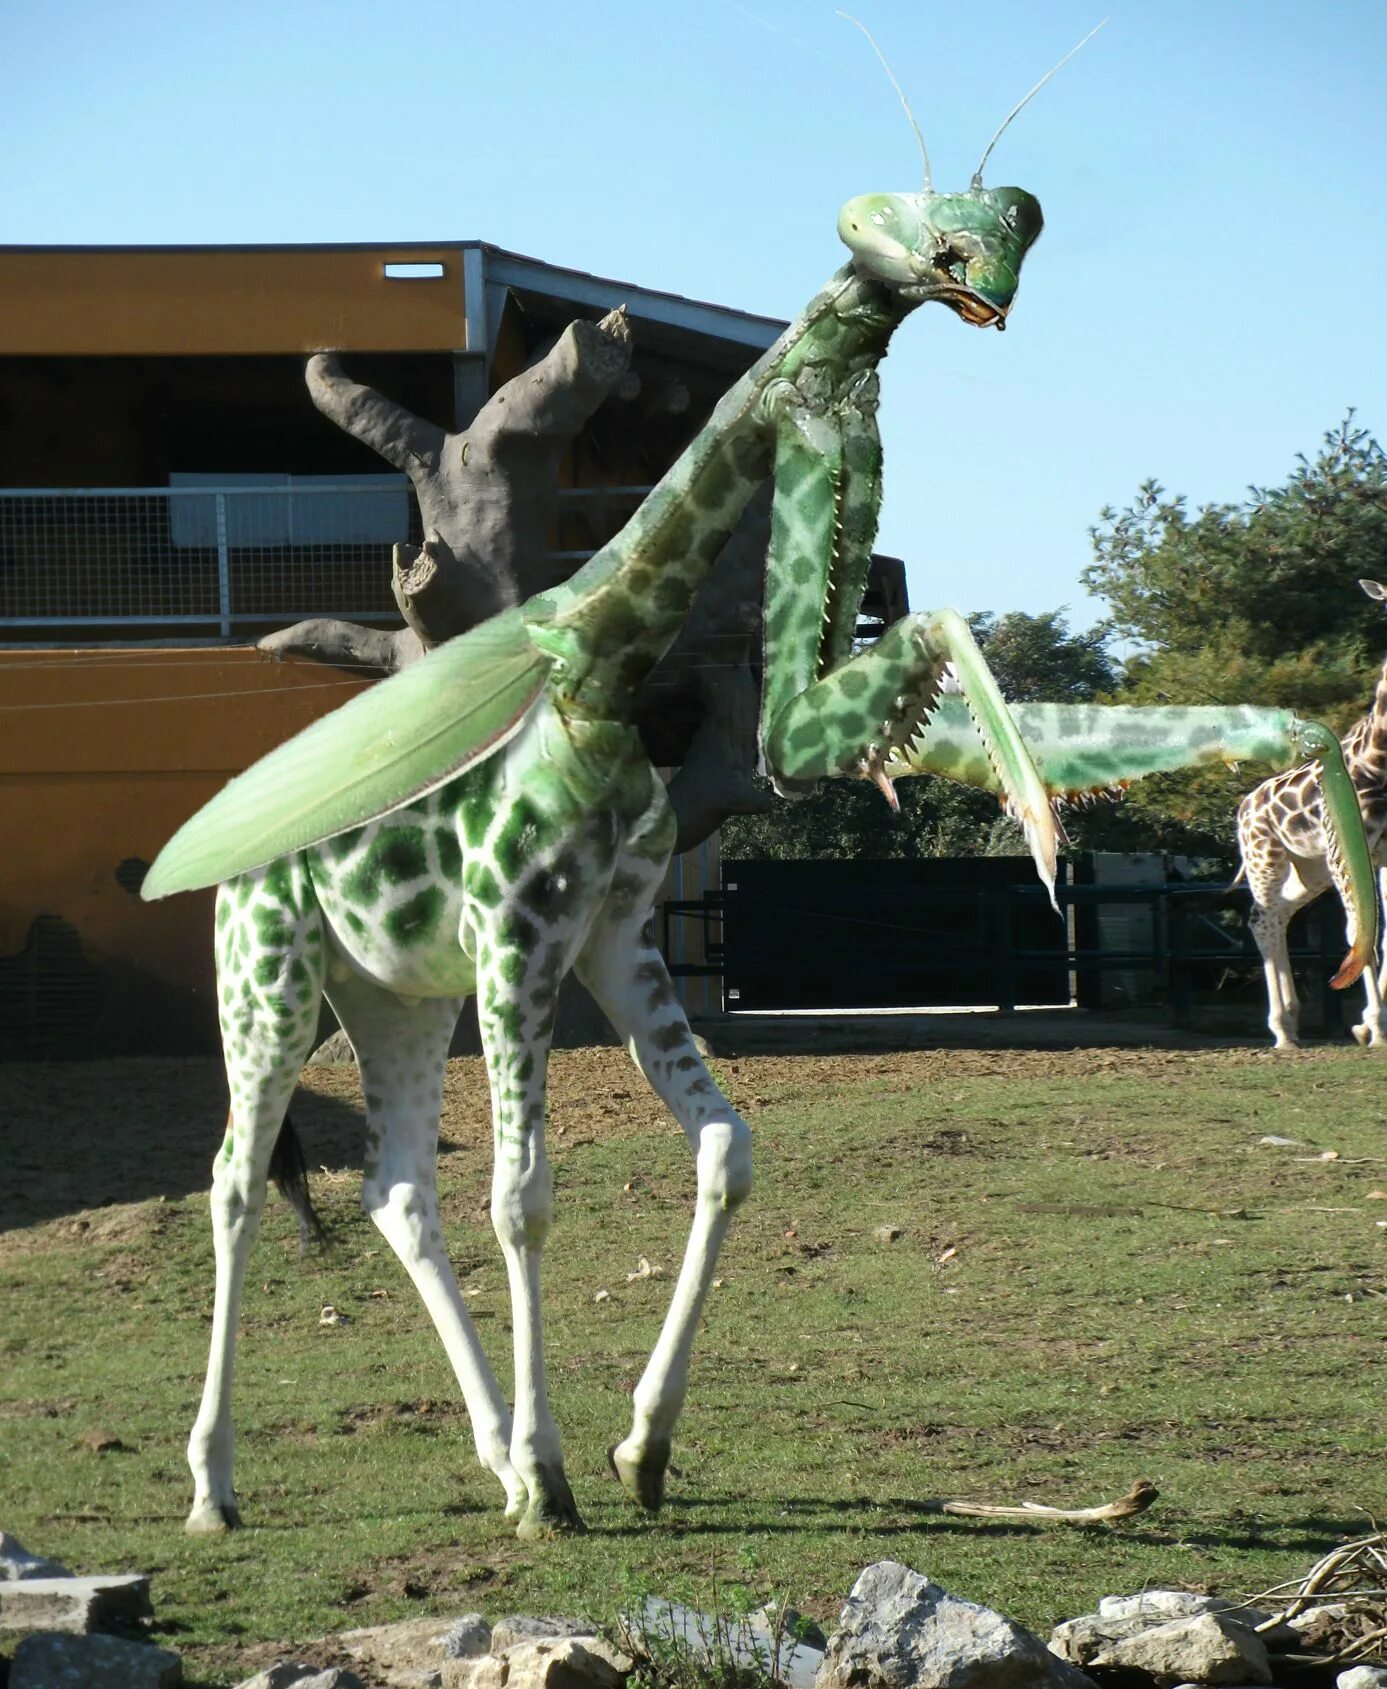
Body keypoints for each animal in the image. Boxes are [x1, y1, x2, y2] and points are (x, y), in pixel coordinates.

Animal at [1236, 584, 1385, 1053]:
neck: (1378, 757)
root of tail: (1243, 807)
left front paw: (1365, 1024)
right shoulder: (1353, 853)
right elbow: (1360, 930)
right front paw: (1375, 1027)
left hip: (1309, 870)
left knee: (1280, 916)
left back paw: (1294, 1019)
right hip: (1267, 860)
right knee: (1263, 918)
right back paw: (1281, 1029)